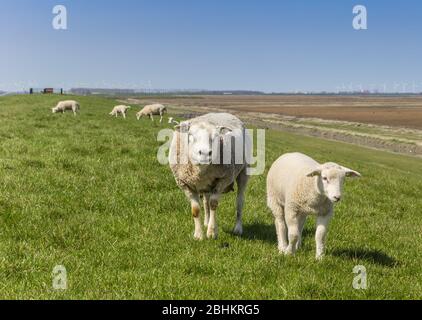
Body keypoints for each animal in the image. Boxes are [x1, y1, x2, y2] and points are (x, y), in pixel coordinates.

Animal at [168, 112, 251, 240]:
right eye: (190, 134)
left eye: (216, 136)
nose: (205, 153)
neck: (200, 170)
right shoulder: (185, 184)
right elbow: (196, 209)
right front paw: (198, 235)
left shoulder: (222, 180)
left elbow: (213, 204)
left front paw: (211, 232)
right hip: (206, 185)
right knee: (205, 201)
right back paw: (206, 222)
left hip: (243, 172)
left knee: (239, 201)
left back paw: (238, 228)